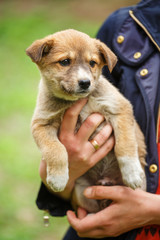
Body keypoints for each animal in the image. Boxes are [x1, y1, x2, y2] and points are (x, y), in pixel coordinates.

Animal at [26, 29, 146, 212]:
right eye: (65, 61)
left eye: (92, 63)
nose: (85, 83)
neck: (76, 101)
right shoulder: (41, 124)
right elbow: (56, 150)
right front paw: (58, 178)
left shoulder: (119, 109)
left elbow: (125, 145)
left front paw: (132, 173)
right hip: (82, 194)